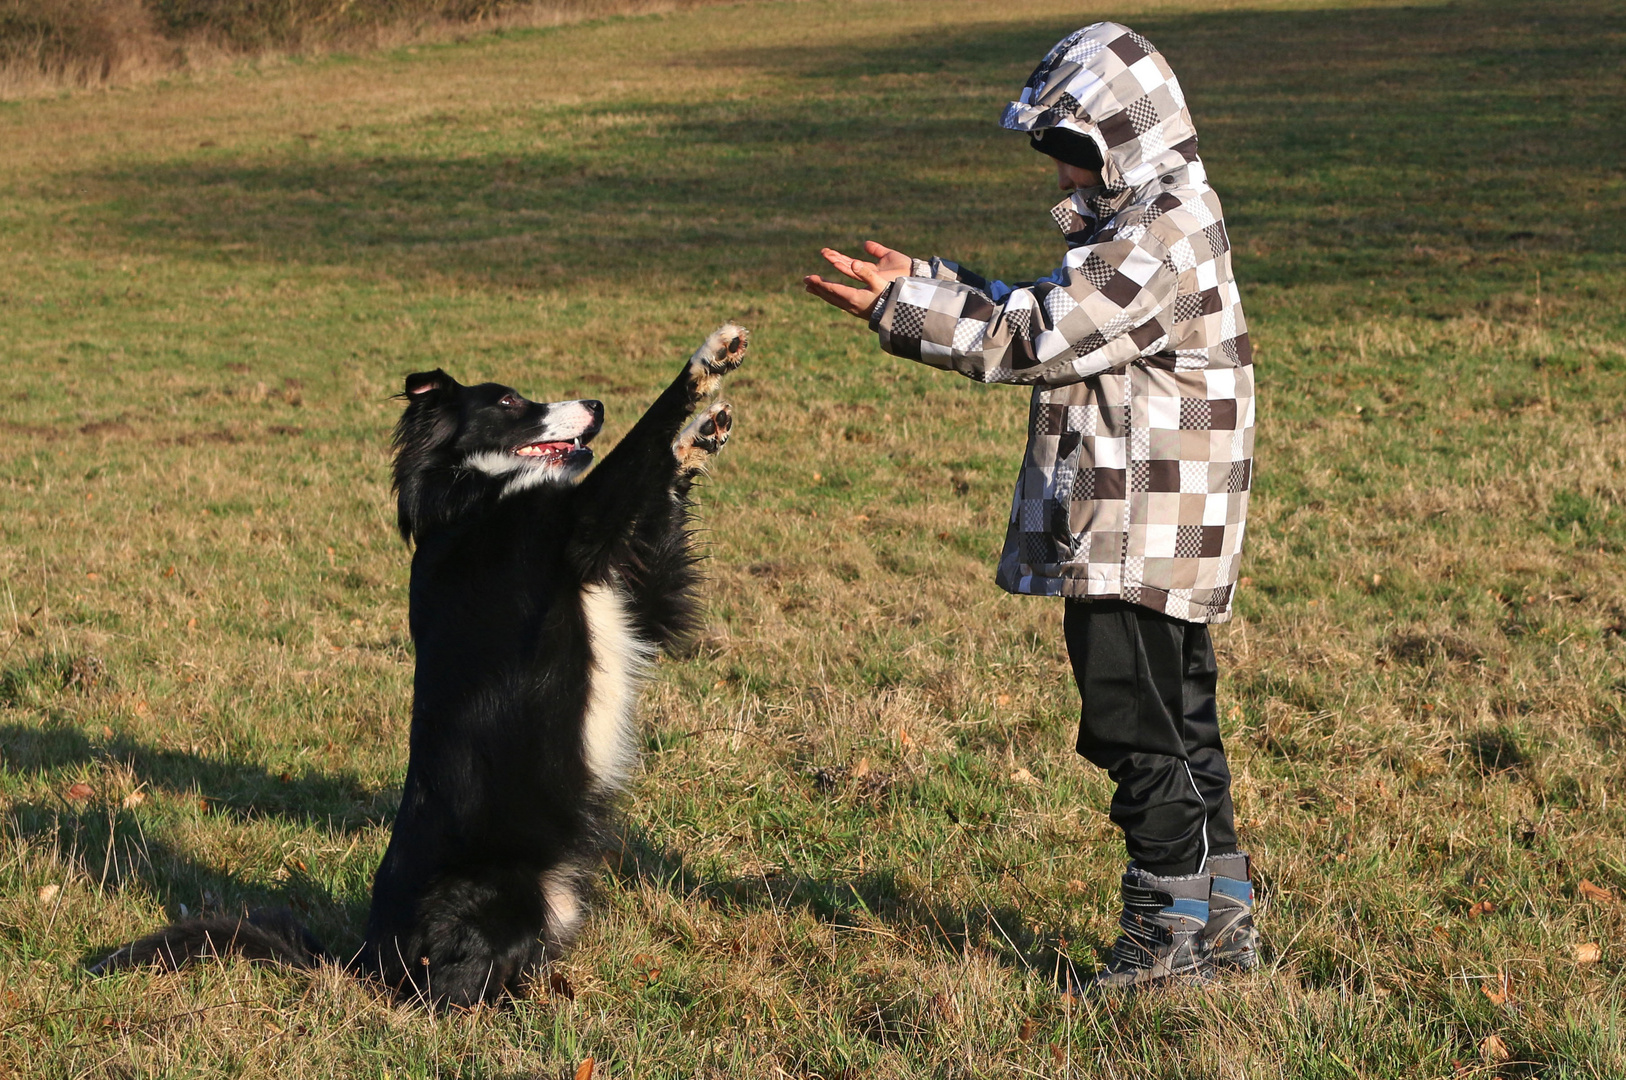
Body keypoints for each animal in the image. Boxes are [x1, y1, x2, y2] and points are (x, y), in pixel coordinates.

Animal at [90, 320, 747, 1001]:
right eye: (508, 401)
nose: (595, 405)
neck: (471, 498)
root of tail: (364, 960)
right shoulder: (581, 523)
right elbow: (638, 446)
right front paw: (706, 362)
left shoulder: (638, 593)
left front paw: (702, 435)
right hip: (489, 891)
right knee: (454, 985)